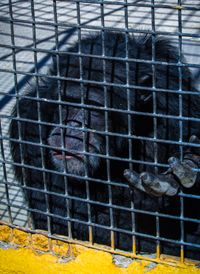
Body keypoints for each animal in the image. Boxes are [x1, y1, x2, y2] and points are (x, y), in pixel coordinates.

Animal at [9, 31, 200, 260]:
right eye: (66, 102)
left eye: (94, 107)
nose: (70, 127)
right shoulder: (27, 126)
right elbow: (65, 221)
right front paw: (147, 202)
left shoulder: (178, 103)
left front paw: (190, 165)